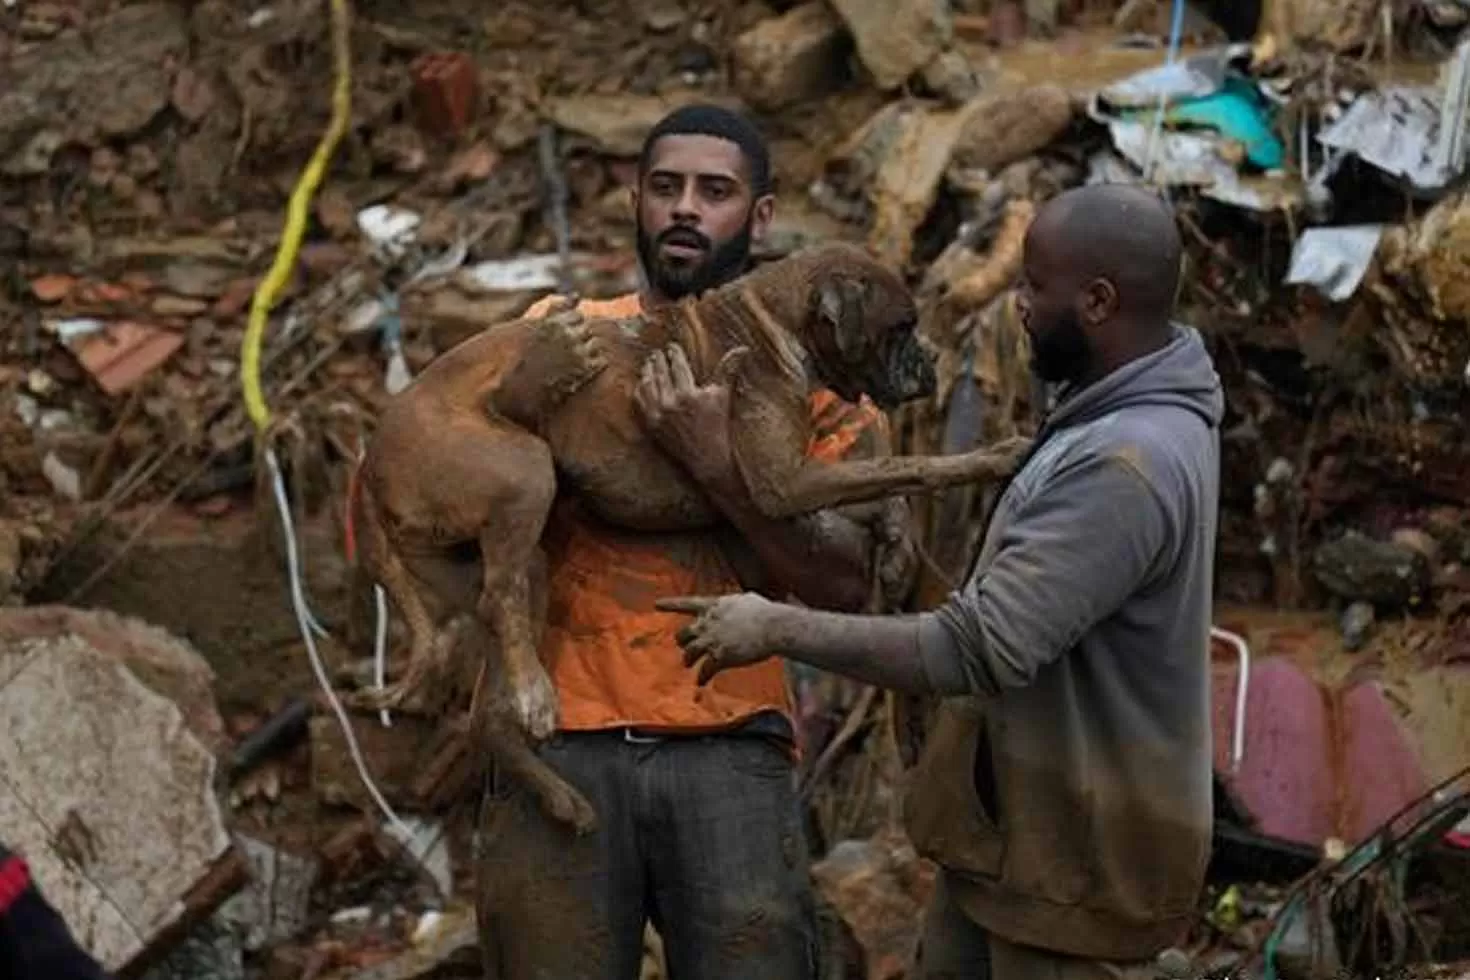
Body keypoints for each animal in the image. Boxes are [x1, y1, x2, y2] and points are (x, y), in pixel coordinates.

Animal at [348, 240, 1029, 834]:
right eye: (901, 326)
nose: (932, 362)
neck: (770, 323)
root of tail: (368, 463)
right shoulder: (784, 485)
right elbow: (903, 465)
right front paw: (990, 458)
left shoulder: (785, 495)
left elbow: (879, 488)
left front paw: (894, 543)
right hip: (523, 471)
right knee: (499, 598)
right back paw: (538, 702)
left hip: (504, 559)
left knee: (488, 701)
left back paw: (559, 793)